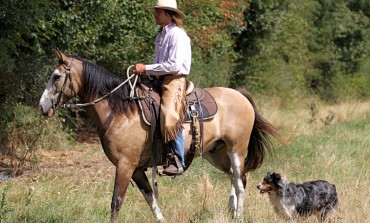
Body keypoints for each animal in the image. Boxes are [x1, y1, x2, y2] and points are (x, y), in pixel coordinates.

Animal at [39, 49, 278, 222]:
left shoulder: (125, 165)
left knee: (239, 181)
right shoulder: (136, 169)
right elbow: (150, 197)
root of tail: (240, 95)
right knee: (235, 178)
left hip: (236, 148)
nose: (42, 106)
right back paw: (231, 210)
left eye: (56, 76)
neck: (121, 112)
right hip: (216, 152)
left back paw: (239, 215)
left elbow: (116, 201)